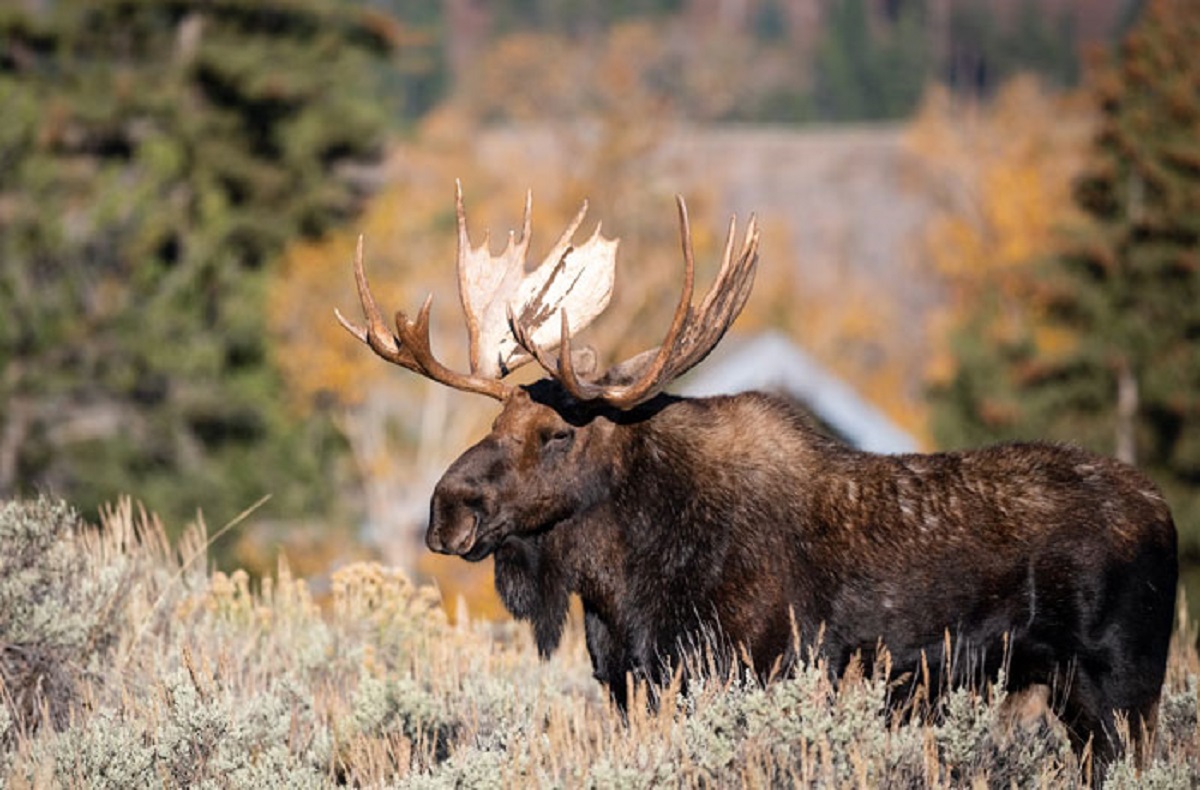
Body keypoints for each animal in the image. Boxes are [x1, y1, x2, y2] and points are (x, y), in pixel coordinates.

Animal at [336, 182, 1171, 763]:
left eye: (555, 434)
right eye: (492, 426)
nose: (447, 510)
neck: (622, 585)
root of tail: (1163, 512)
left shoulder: (746, 669)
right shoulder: (629, 684)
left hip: (1124, 684)